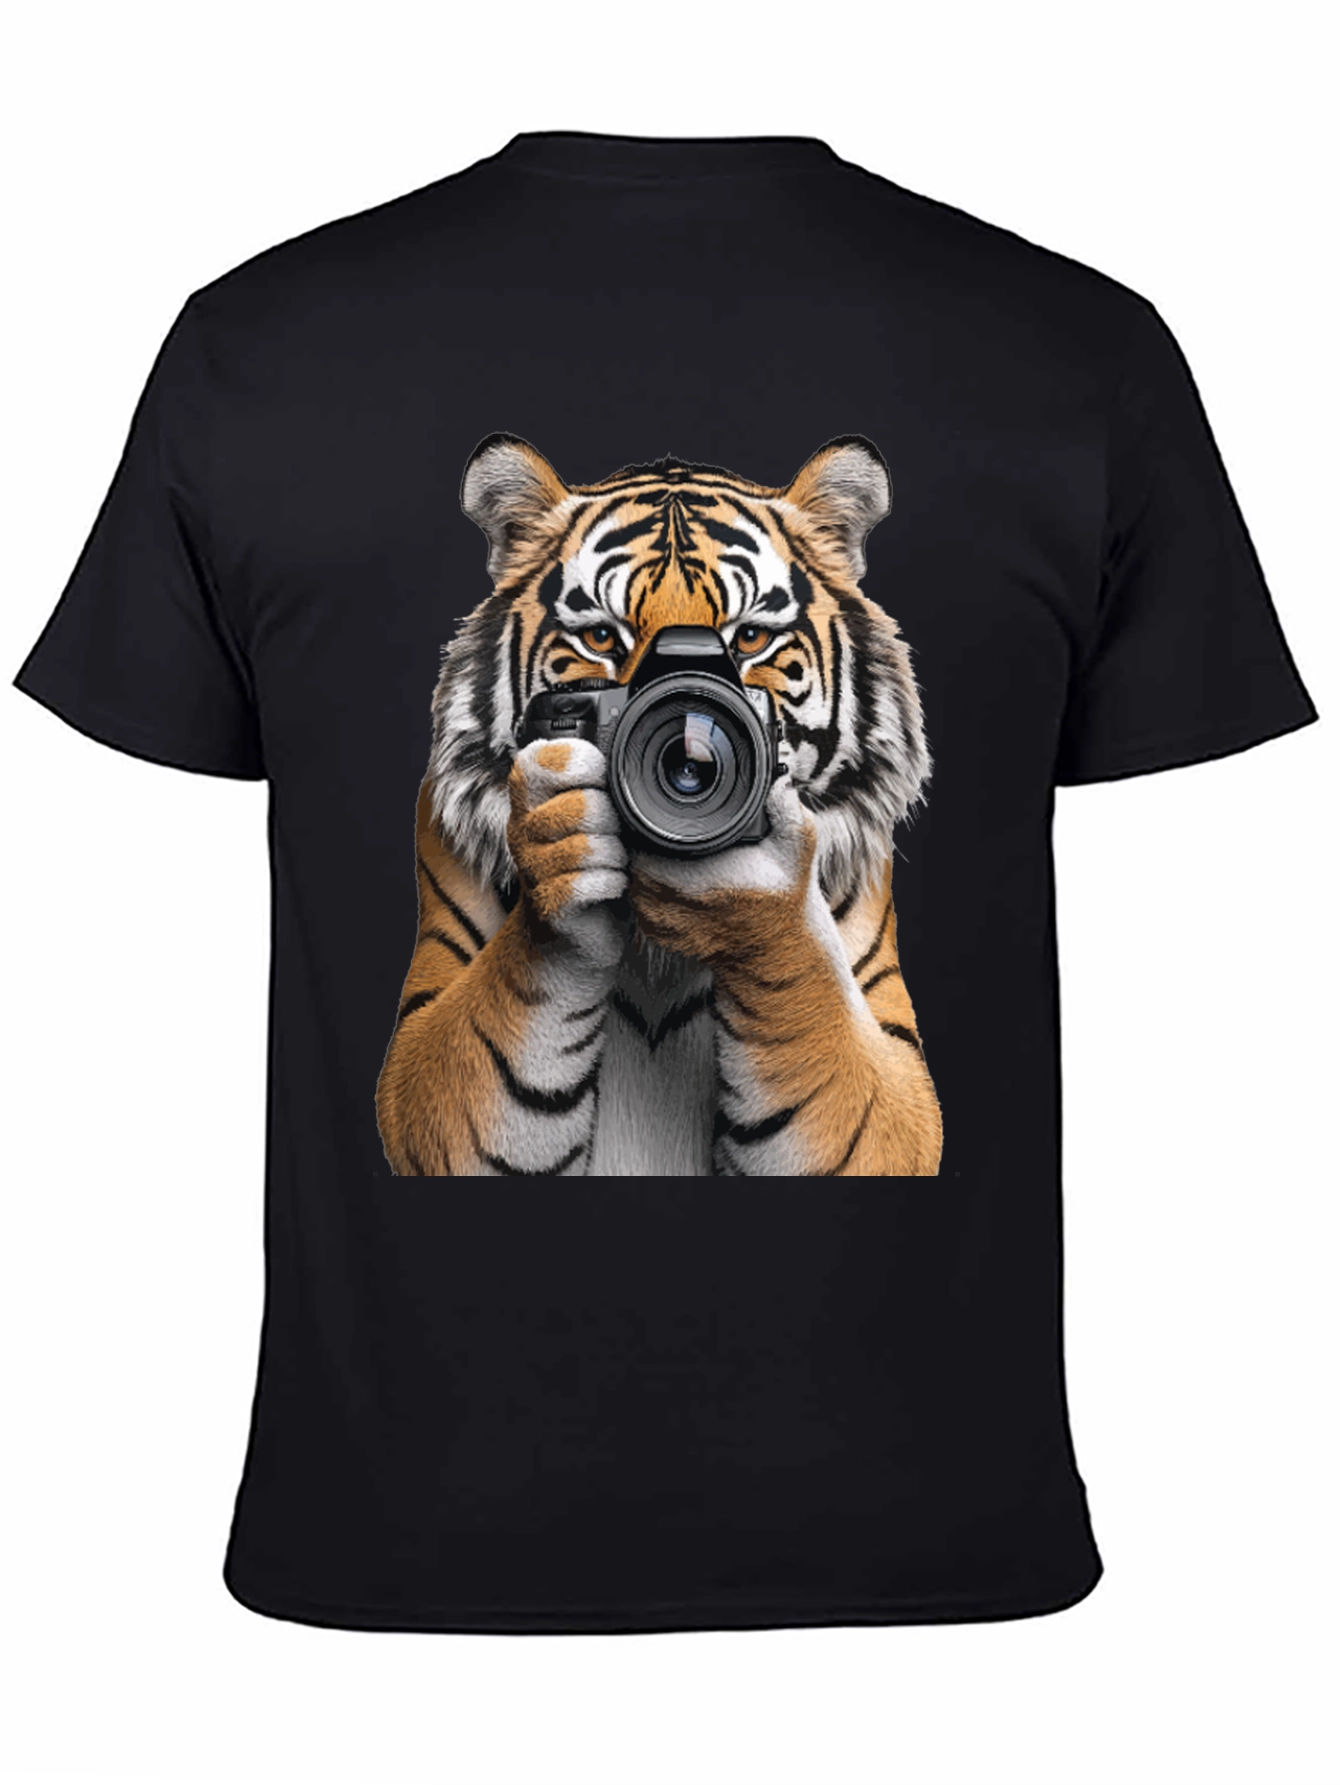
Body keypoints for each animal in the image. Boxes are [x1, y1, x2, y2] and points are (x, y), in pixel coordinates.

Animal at [375, 435, 942, 1177]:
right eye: (601, 639)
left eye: (751, 638)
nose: (691, 762)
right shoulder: (425, 1063)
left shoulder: (894, 1093)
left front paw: (759, 917)